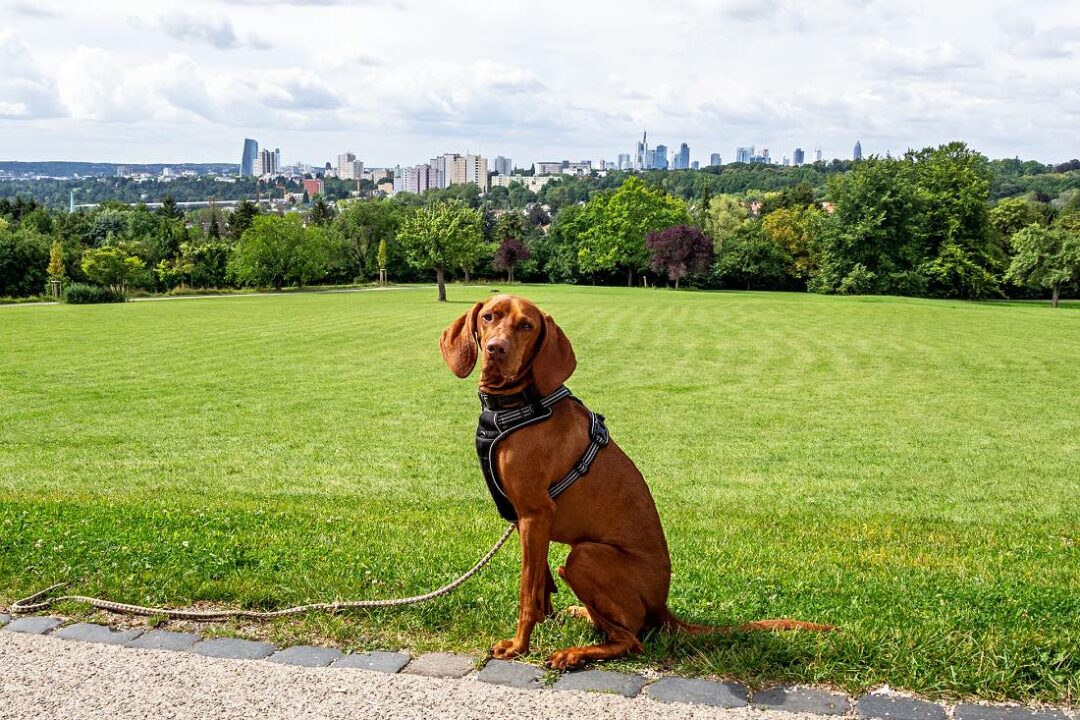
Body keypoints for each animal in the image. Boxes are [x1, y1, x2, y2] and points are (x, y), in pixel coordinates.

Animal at [438, 293, 825, 669]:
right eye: (488, 317)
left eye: (526, 326)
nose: (496, 349)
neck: (517, 406)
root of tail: (661, 606)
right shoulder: (524, 518)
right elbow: (541, 583)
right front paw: (547, 620)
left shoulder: (535, 512)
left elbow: (526, 591)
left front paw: (519, 646)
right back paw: (582, 616)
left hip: (585, 556)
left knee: (631, 640)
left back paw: (574, 654)